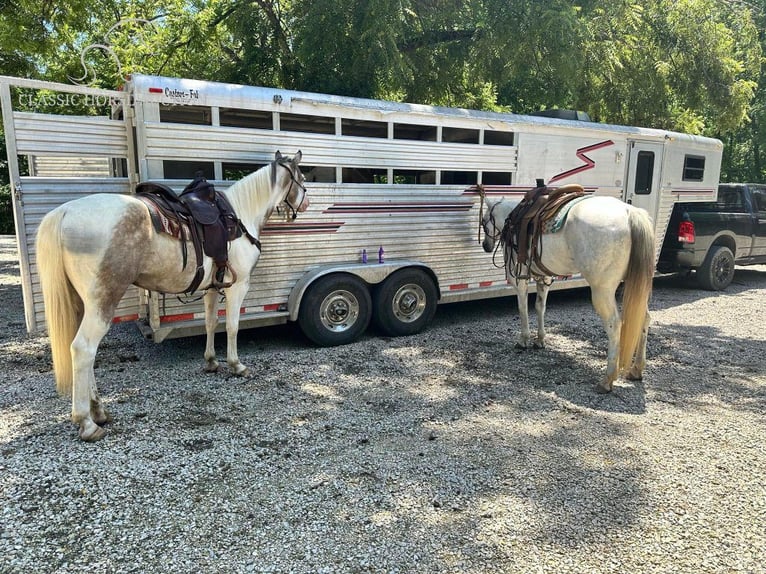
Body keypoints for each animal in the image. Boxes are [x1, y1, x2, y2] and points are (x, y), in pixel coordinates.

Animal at [480, 186, 656, 396]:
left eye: (483, 221)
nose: (485, 246)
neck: (513, 219)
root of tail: (630, 212)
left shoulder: (518, 278)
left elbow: (523, 309)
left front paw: (524, 339)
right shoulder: (544, 279)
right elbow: (540, 307)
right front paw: (540, 340)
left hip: (602, 290)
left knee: (614, 324)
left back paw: (607, 379)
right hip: (636, 285)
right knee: (644, 318)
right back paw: (636, 369)